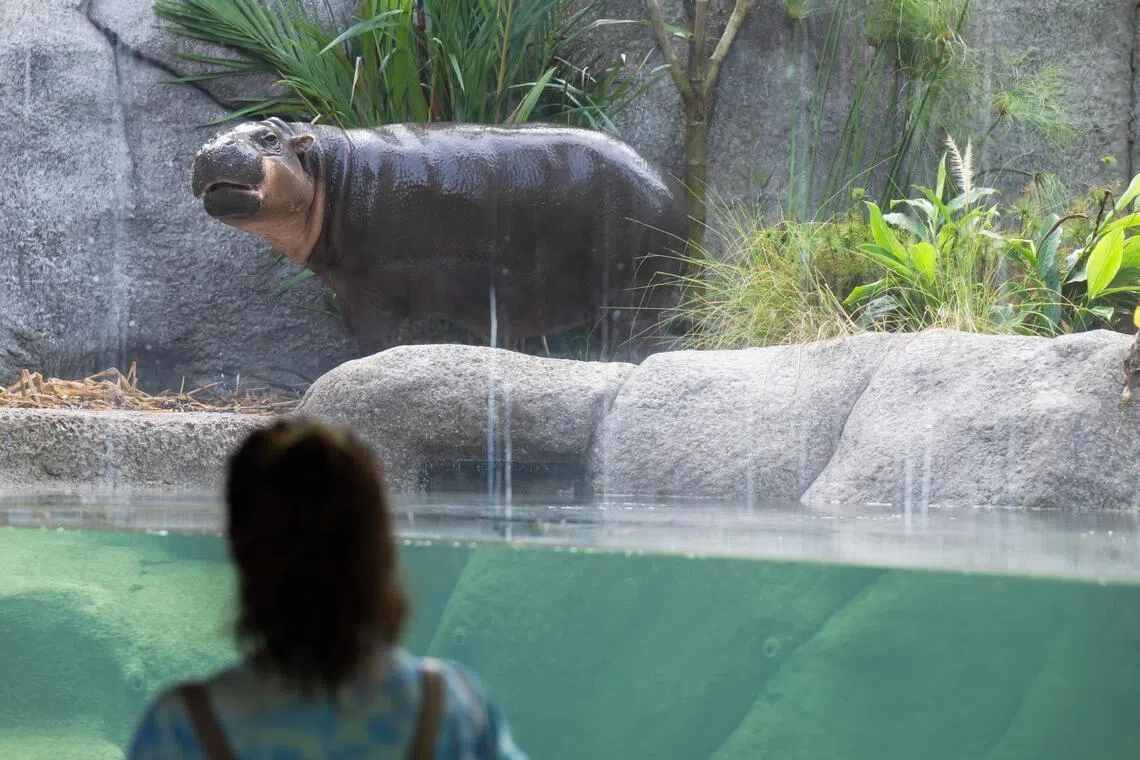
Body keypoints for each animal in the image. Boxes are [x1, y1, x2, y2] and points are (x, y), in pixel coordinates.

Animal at [189, 118, 689, 360]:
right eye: (216, 134)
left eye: (269, 138)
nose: (211, 149)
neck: (331, 168)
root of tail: (673, 189)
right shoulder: (351, 290)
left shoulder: (373, 292)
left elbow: (373, 343)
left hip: (634, 294)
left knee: (633, 342)